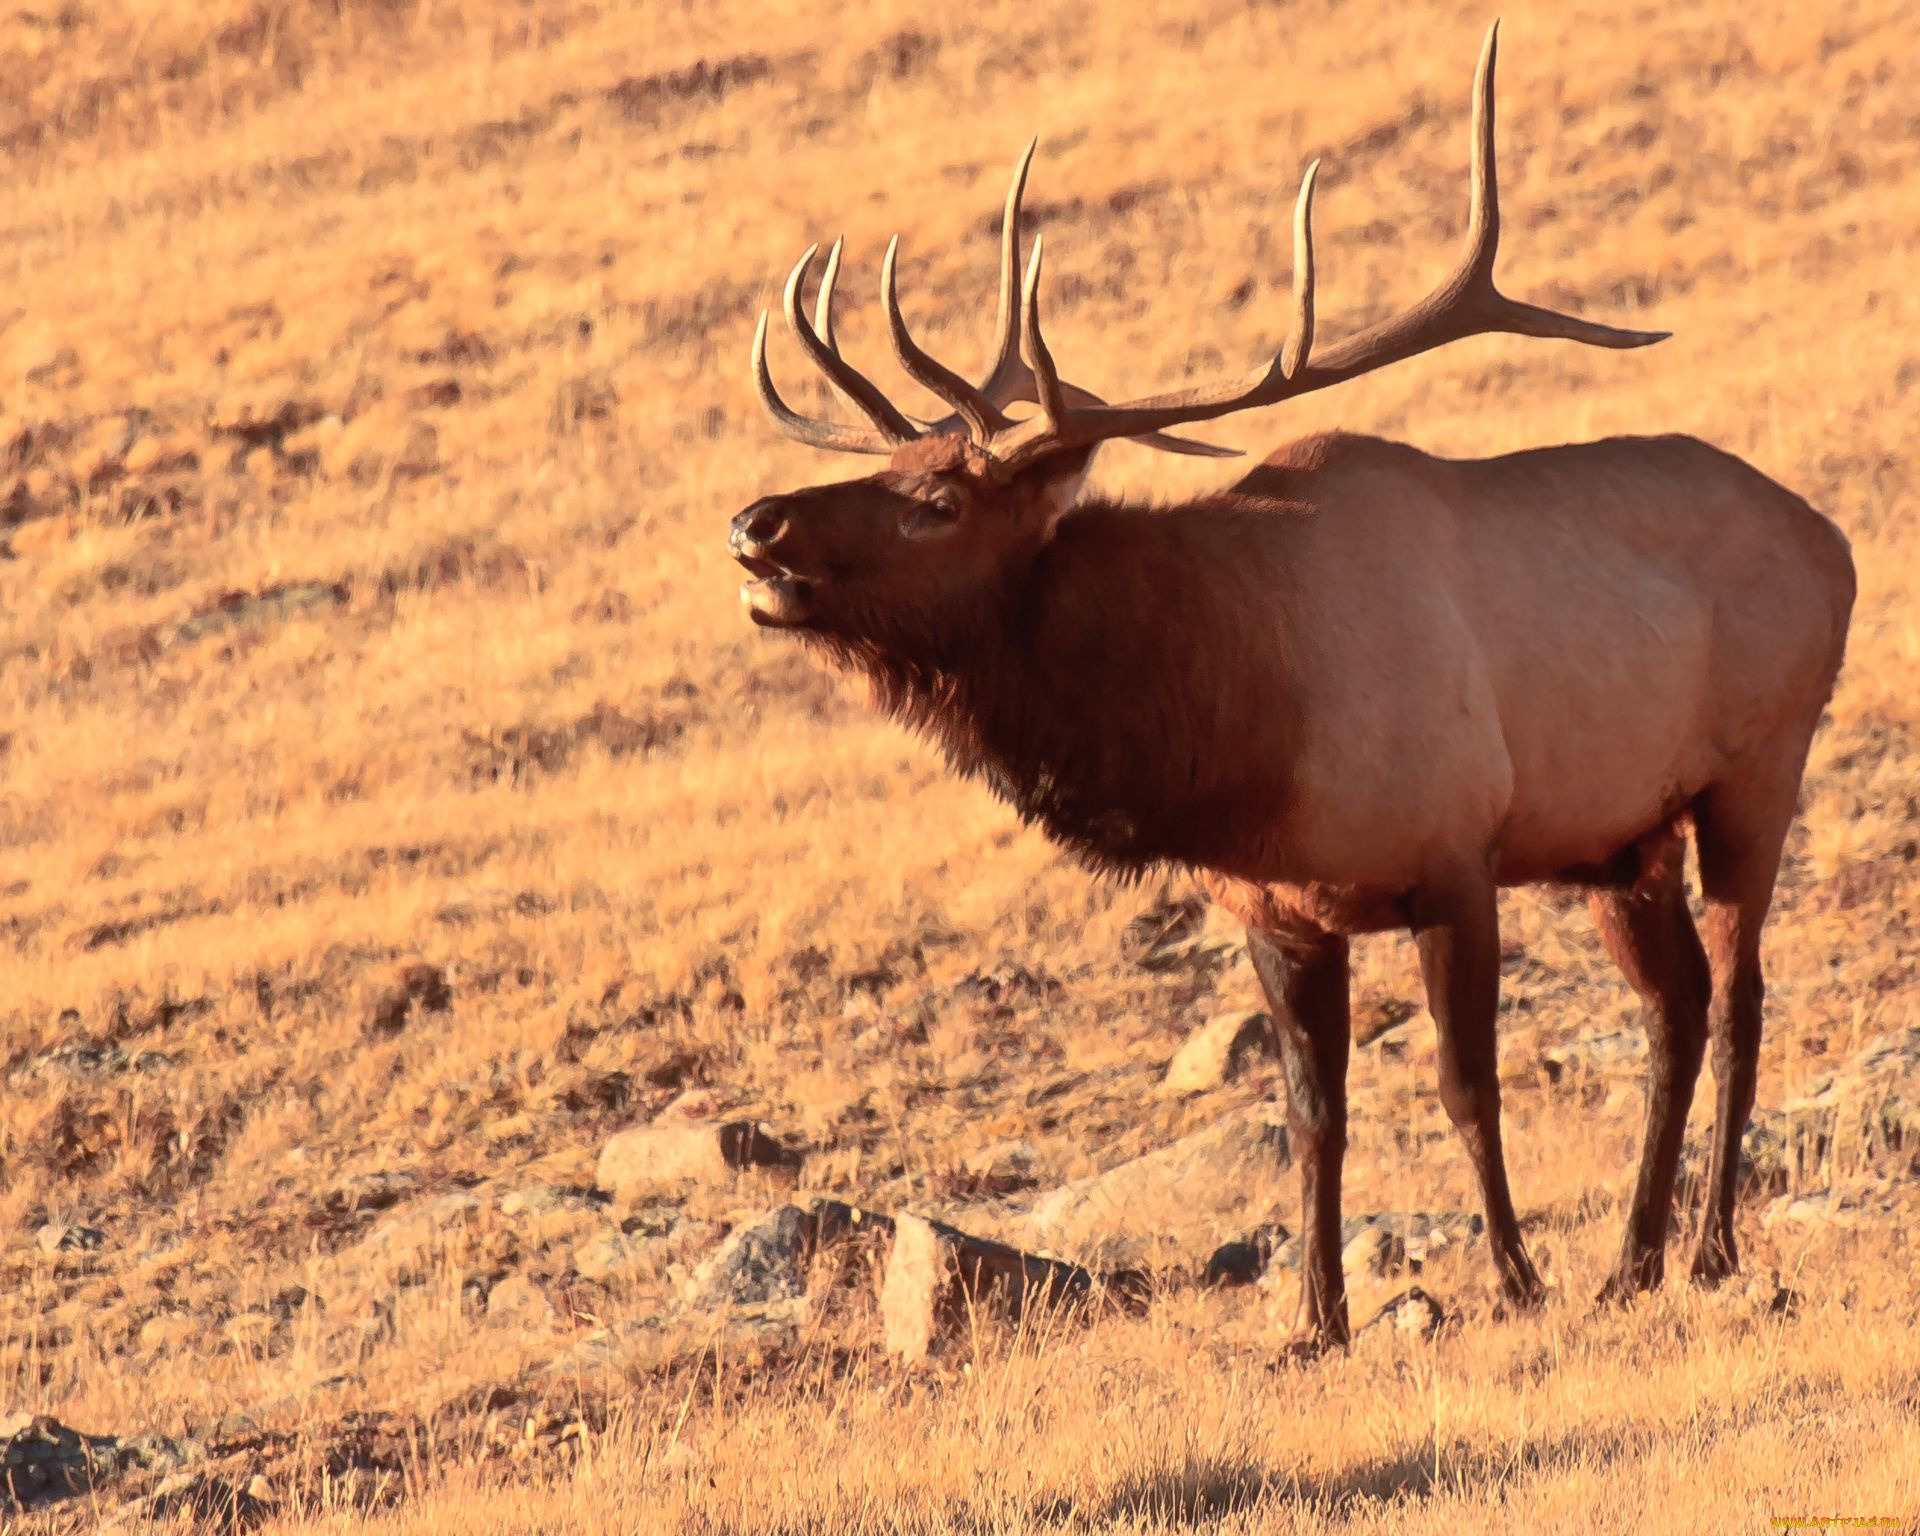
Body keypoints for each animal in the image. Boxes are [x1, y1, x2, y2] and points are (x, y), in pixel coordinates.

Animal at [725, 21, 1850, 1344]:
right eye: (893, 468)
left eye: (938, 503)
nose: (755, 523)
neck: (1241, 730)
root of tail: (1836, 543)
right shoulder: (1273, 908)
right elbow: (1315, 1117)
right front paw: (1314, 1321)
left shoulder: (1454, 855)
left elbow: (1467, 1088)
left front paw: (1515, 1282)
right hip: (1626, 836)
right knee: (1673, 1009)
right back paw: (1634, 1260)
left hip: (1756, 772)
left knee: (1739, 998)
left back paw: (1712, 1249)